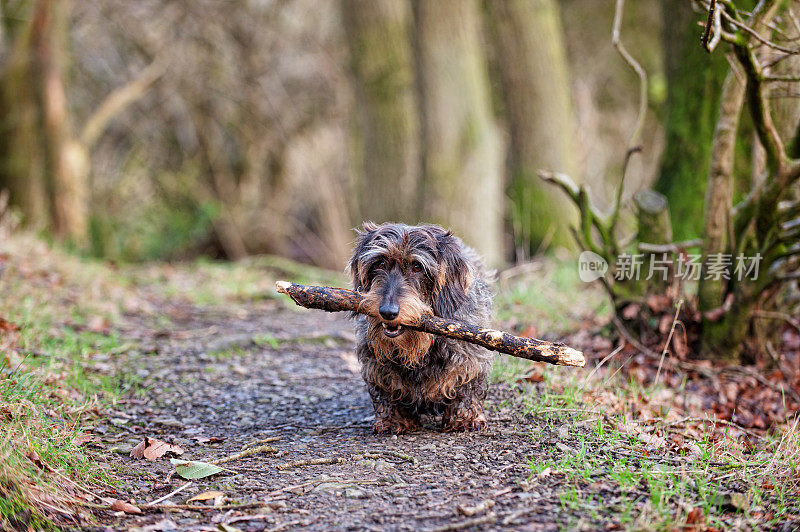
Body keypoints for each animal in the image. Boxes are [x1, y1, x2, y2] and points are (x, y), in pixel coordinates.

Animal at [348, 220, 494, 432]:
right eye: (380, 263)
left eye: (417, 266)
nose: (388, 311)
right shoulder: (375, 362)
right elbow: (387, 389)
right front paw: (393, 420)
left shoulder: (470, 358)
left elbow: (466, 387)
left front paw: (465, 419)